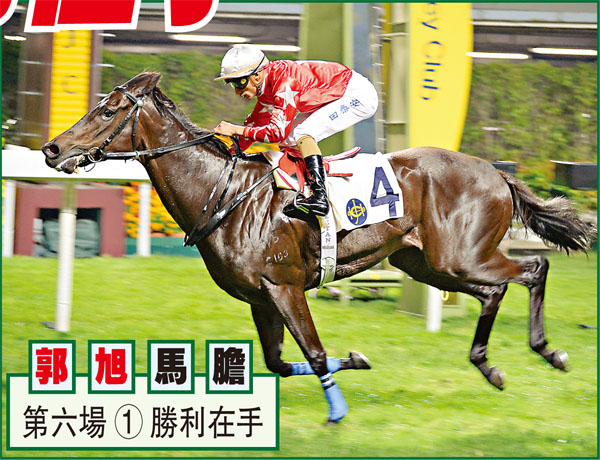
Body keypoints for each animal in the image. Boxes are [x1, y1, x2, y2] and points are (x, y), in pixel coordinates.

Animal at [41, 72, 596, 423]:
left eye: (107, 109)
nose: (51, 148)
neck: (224, 193)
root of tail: (497, 173)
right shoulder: (260, 298)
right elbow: (279, 362)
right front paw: (357, 360)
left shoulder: (285, 287)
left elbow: (314, 350)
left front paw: (338, 410)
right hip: (427, 263)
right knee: (493, 292)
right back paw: (489, 365)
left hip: (459, 256)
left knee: (533, 269)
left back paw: (548, 351)